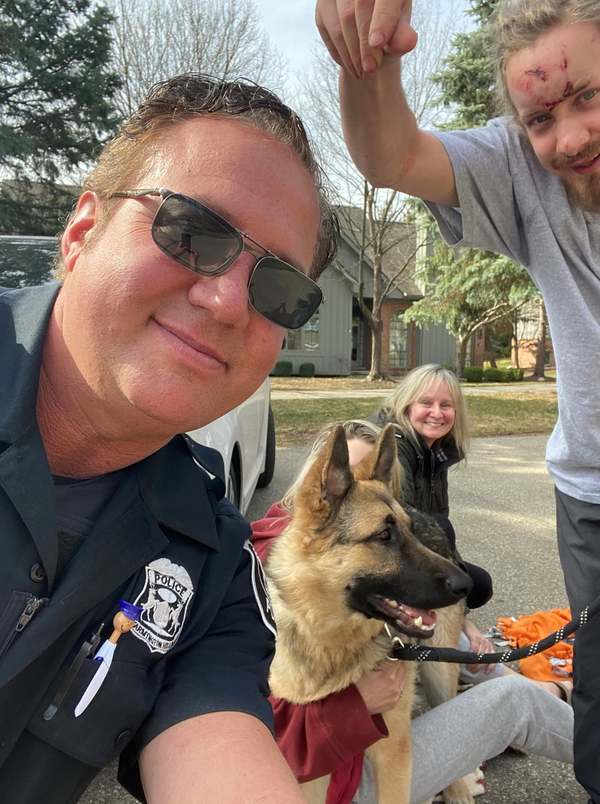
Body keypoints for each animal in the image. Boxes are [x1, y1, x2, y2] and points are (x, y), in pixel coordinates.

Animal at [268, 424, 474, 800]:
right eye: (384, 535)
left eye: (409, 530)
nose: (466, 583)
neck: (331, 641)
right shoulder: (313, 768)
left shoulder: (394, 753)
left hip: (439, 670)